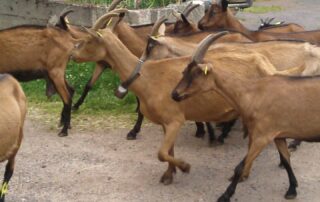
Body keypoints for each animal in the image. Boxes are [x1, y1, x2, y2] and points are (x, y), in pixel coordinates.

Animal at [70, 26, 308, 185]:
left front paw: (184, 167)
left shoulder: (175, 120)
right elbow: (168, 150)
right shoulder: (167, 123)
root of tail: (267, 66)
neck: (147, 77)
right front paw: (169, 174)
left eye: (89, 40)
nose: (72, 54)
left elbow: (161, 152)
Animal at [171, 33, 320, 202]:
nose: (175, 94)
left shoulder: (262, 137)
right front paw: (292, 189)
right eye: (184, 71)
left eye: (196, 73)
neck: (252, 94)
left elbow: (239, 167)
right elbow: (286, 160)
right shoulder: (278, 135)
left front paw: (225, 195)